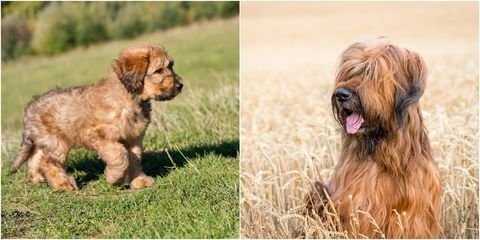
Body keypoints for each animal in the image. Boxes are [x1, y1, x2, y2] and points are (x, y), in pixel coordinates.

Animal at [11, 44, 184, 191]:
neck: (128, 97)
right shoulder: (100, 137)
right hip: (57, 142)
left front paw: (139, 180)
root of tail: (30, 107)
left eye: (171, 65)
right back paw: (63, 184)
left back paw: (37, 179)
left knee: (36, 157)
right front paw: (115, 178)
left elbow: (135, 159)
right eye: (158, 71)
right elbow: (120, 156)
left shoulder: (133, 138)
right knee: (47, 162)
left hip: (46, 141)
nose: (180, 85)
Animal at [306, 37, 440, 238]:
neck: (392, 158)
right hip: (318, 191)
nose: (341, 94)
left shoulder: (416, 212)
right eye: (348, 72)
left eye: (371, 72)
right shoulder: (360, 207)